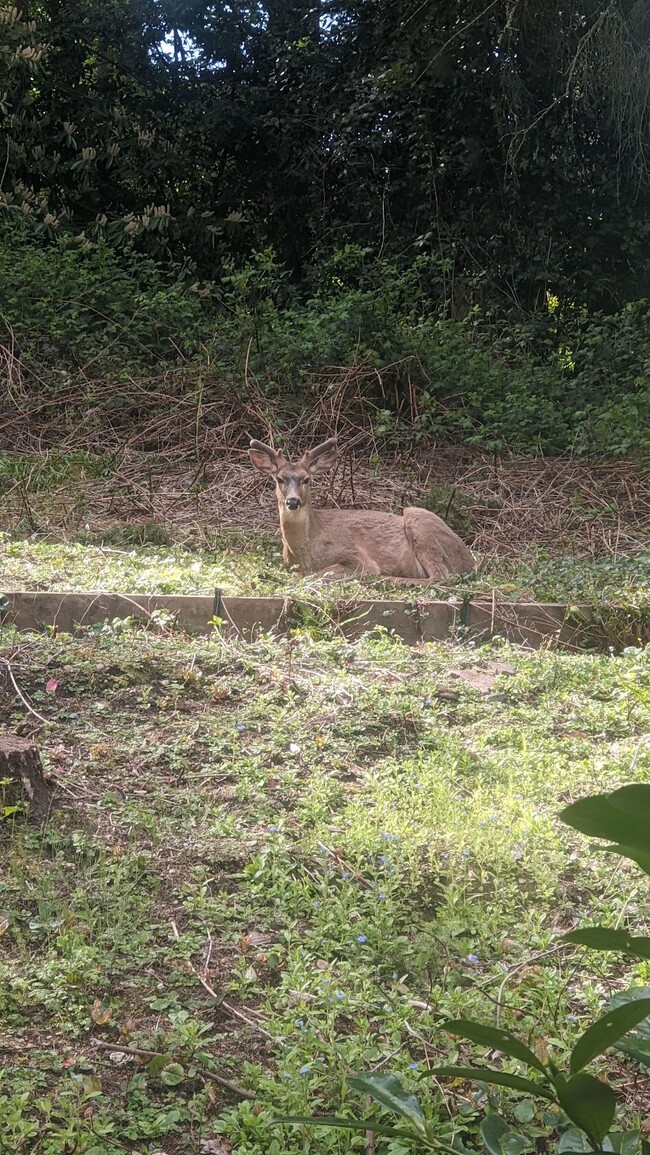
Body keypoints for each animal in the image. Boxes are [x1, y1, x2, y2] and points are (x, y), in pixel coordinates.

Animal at [248, 434, 473, 577]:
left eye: (306, 479)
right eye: (279, 479)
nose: (293, 501)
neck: (304, 554)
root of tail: (469, 560)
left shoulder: (357, 557)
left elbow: (319, 574)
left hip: (419, 521)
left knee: (440, 576)